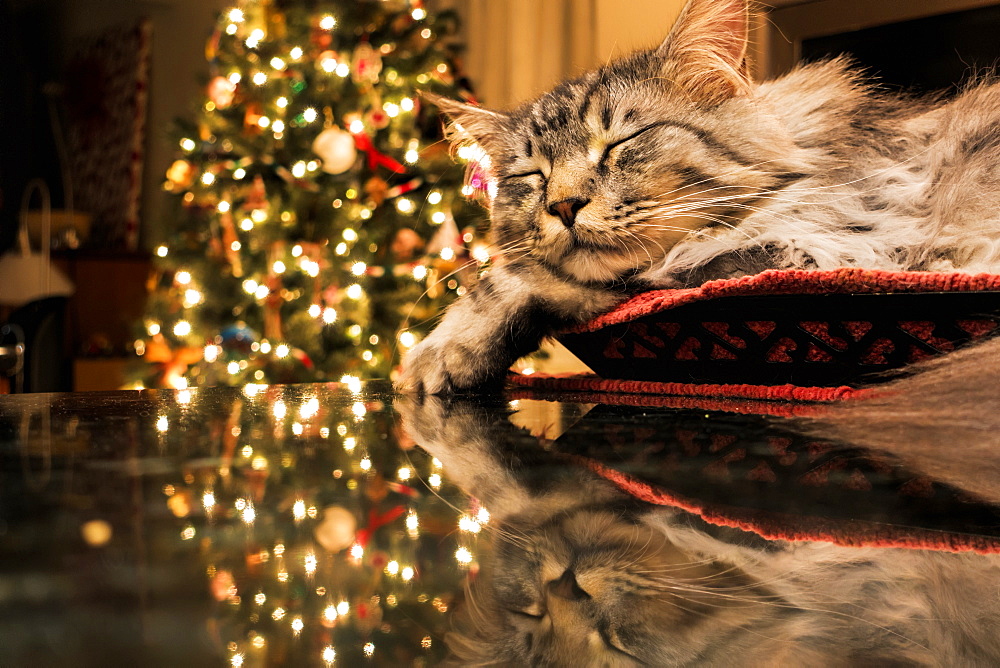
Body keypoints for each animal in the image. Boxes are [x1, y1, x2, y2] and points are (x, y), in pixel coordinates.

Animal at [394, 0, 1000, 396]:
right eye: (532, 176)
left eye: (621, 142)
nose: (562, 206)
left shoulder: (831, 245)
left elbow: (524, 280)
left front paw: (434, 356)